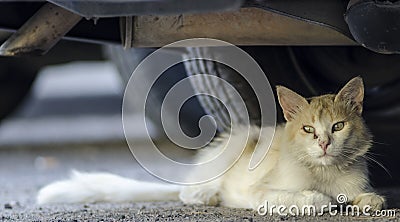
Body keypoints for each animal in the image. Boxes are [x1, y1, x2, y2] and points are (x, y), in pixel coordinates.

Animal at [36, 76, 384, 213]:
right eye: (309, 129)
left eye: (338, 127)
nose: (324, 143)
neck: (324, 173)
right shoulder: (262, 190)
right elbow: (302, 197)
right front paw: (321, 200)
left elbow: (371, 198)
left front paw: (368, 201)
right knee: (186, 192)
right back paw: (209, 195)